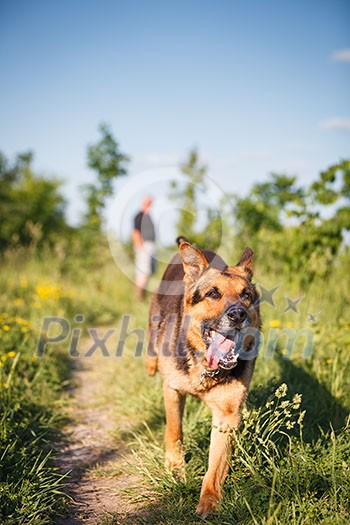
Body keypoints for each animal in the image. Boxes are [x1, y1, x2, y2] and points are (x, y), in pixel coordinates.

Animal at [146, 239, 260, 516]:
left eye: (246, 295)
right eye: (213, 294)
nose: (238, 315)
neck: (206, 367)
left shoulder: (228, 415)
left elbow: (216, 464)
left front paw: (209, 499)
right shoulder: (172, 390)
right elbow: (174, 431)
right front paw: (175, 468)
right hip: (154, 322)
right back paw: (150, 363)